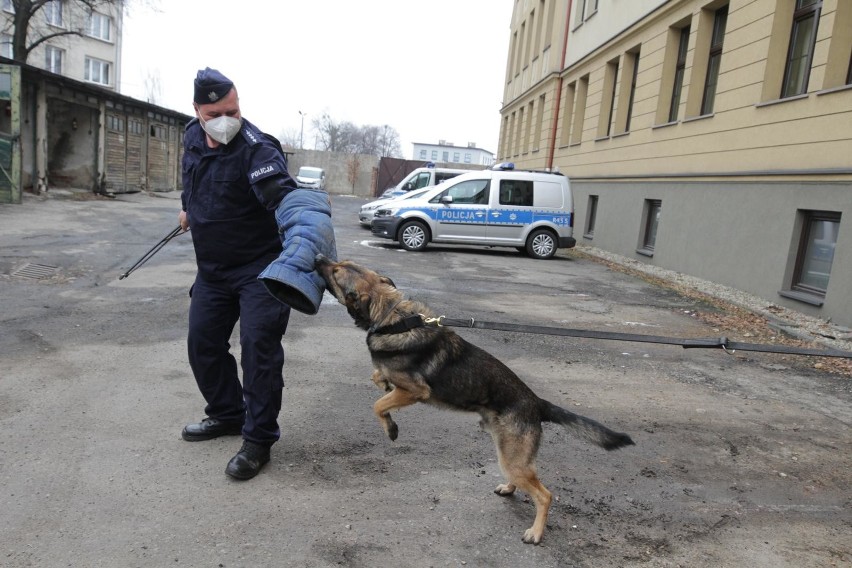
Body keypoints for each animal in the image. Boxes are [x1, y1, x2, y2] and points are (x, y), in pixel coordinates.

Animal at [312, 255, 632, 544]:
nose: (318, 256)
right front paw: (382, 385)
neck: (391, 317)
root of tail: (536, 402)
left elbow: (378, 405)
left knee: (545, 495)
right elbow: (377, 379)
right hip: (510, 455)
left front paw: (391, 428)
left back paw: (536, 533)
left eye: (336, 272)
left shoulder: (415, 391)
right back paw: (509, 488)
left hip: (513, 458)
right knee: (527, 479)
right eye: (341, 264)